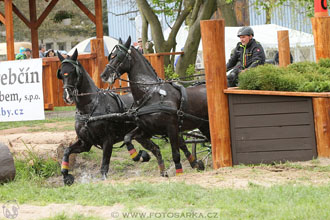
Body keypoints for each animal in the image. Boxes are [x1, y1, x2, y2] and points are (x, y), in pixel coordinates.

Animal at [56, 49, 168, 185]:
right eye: (61, 73)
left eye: (73, 71)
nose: (67, 96)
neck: (90, 108)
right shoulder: (85, 143)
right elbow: (67, 151)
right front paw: (66, 176)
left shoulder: (107, 141)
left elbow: (104, 167)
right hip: (141, 135)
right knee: (156, 149)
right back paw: (162, 172)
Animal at [100, 36, 209, 175]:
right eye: (111, 56)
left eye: (119, 56)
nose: (103, 75)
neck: (150, 94)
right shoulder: (146, 129)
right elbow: (127, 137)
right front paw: (138, 156)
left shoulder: (171, 128)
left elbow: (175, 154)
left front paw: (179, 171)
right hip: (203, 125)